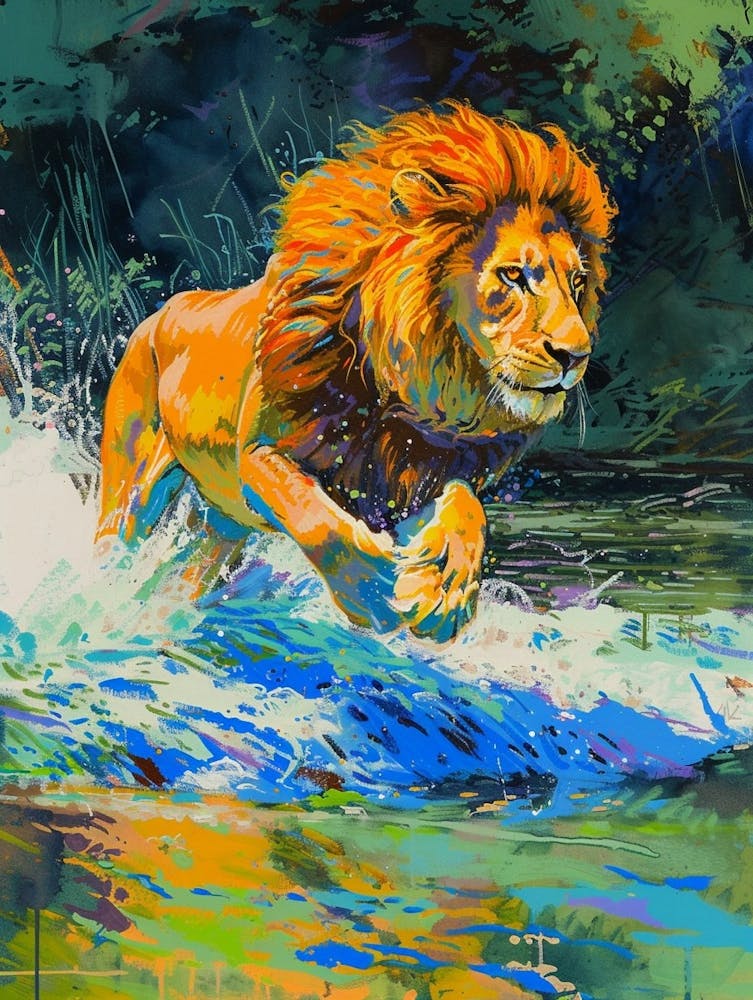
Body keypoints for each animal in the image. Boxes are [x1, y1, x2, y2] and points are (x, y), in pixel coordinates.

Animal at [97, 101, 615, 641]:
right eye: (513, 274)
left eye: (578, 282)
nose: (575, 355)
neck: (401, 385)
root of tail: (158, 313)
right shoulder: (257, 453)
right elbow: (317, 520)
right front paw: (376, 594)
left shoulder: (414, 469)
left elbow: (467, 509)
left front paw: (446, 590)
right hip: (130, 488)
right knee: (114, 546)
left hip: (222, 523)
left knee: (188, 577)